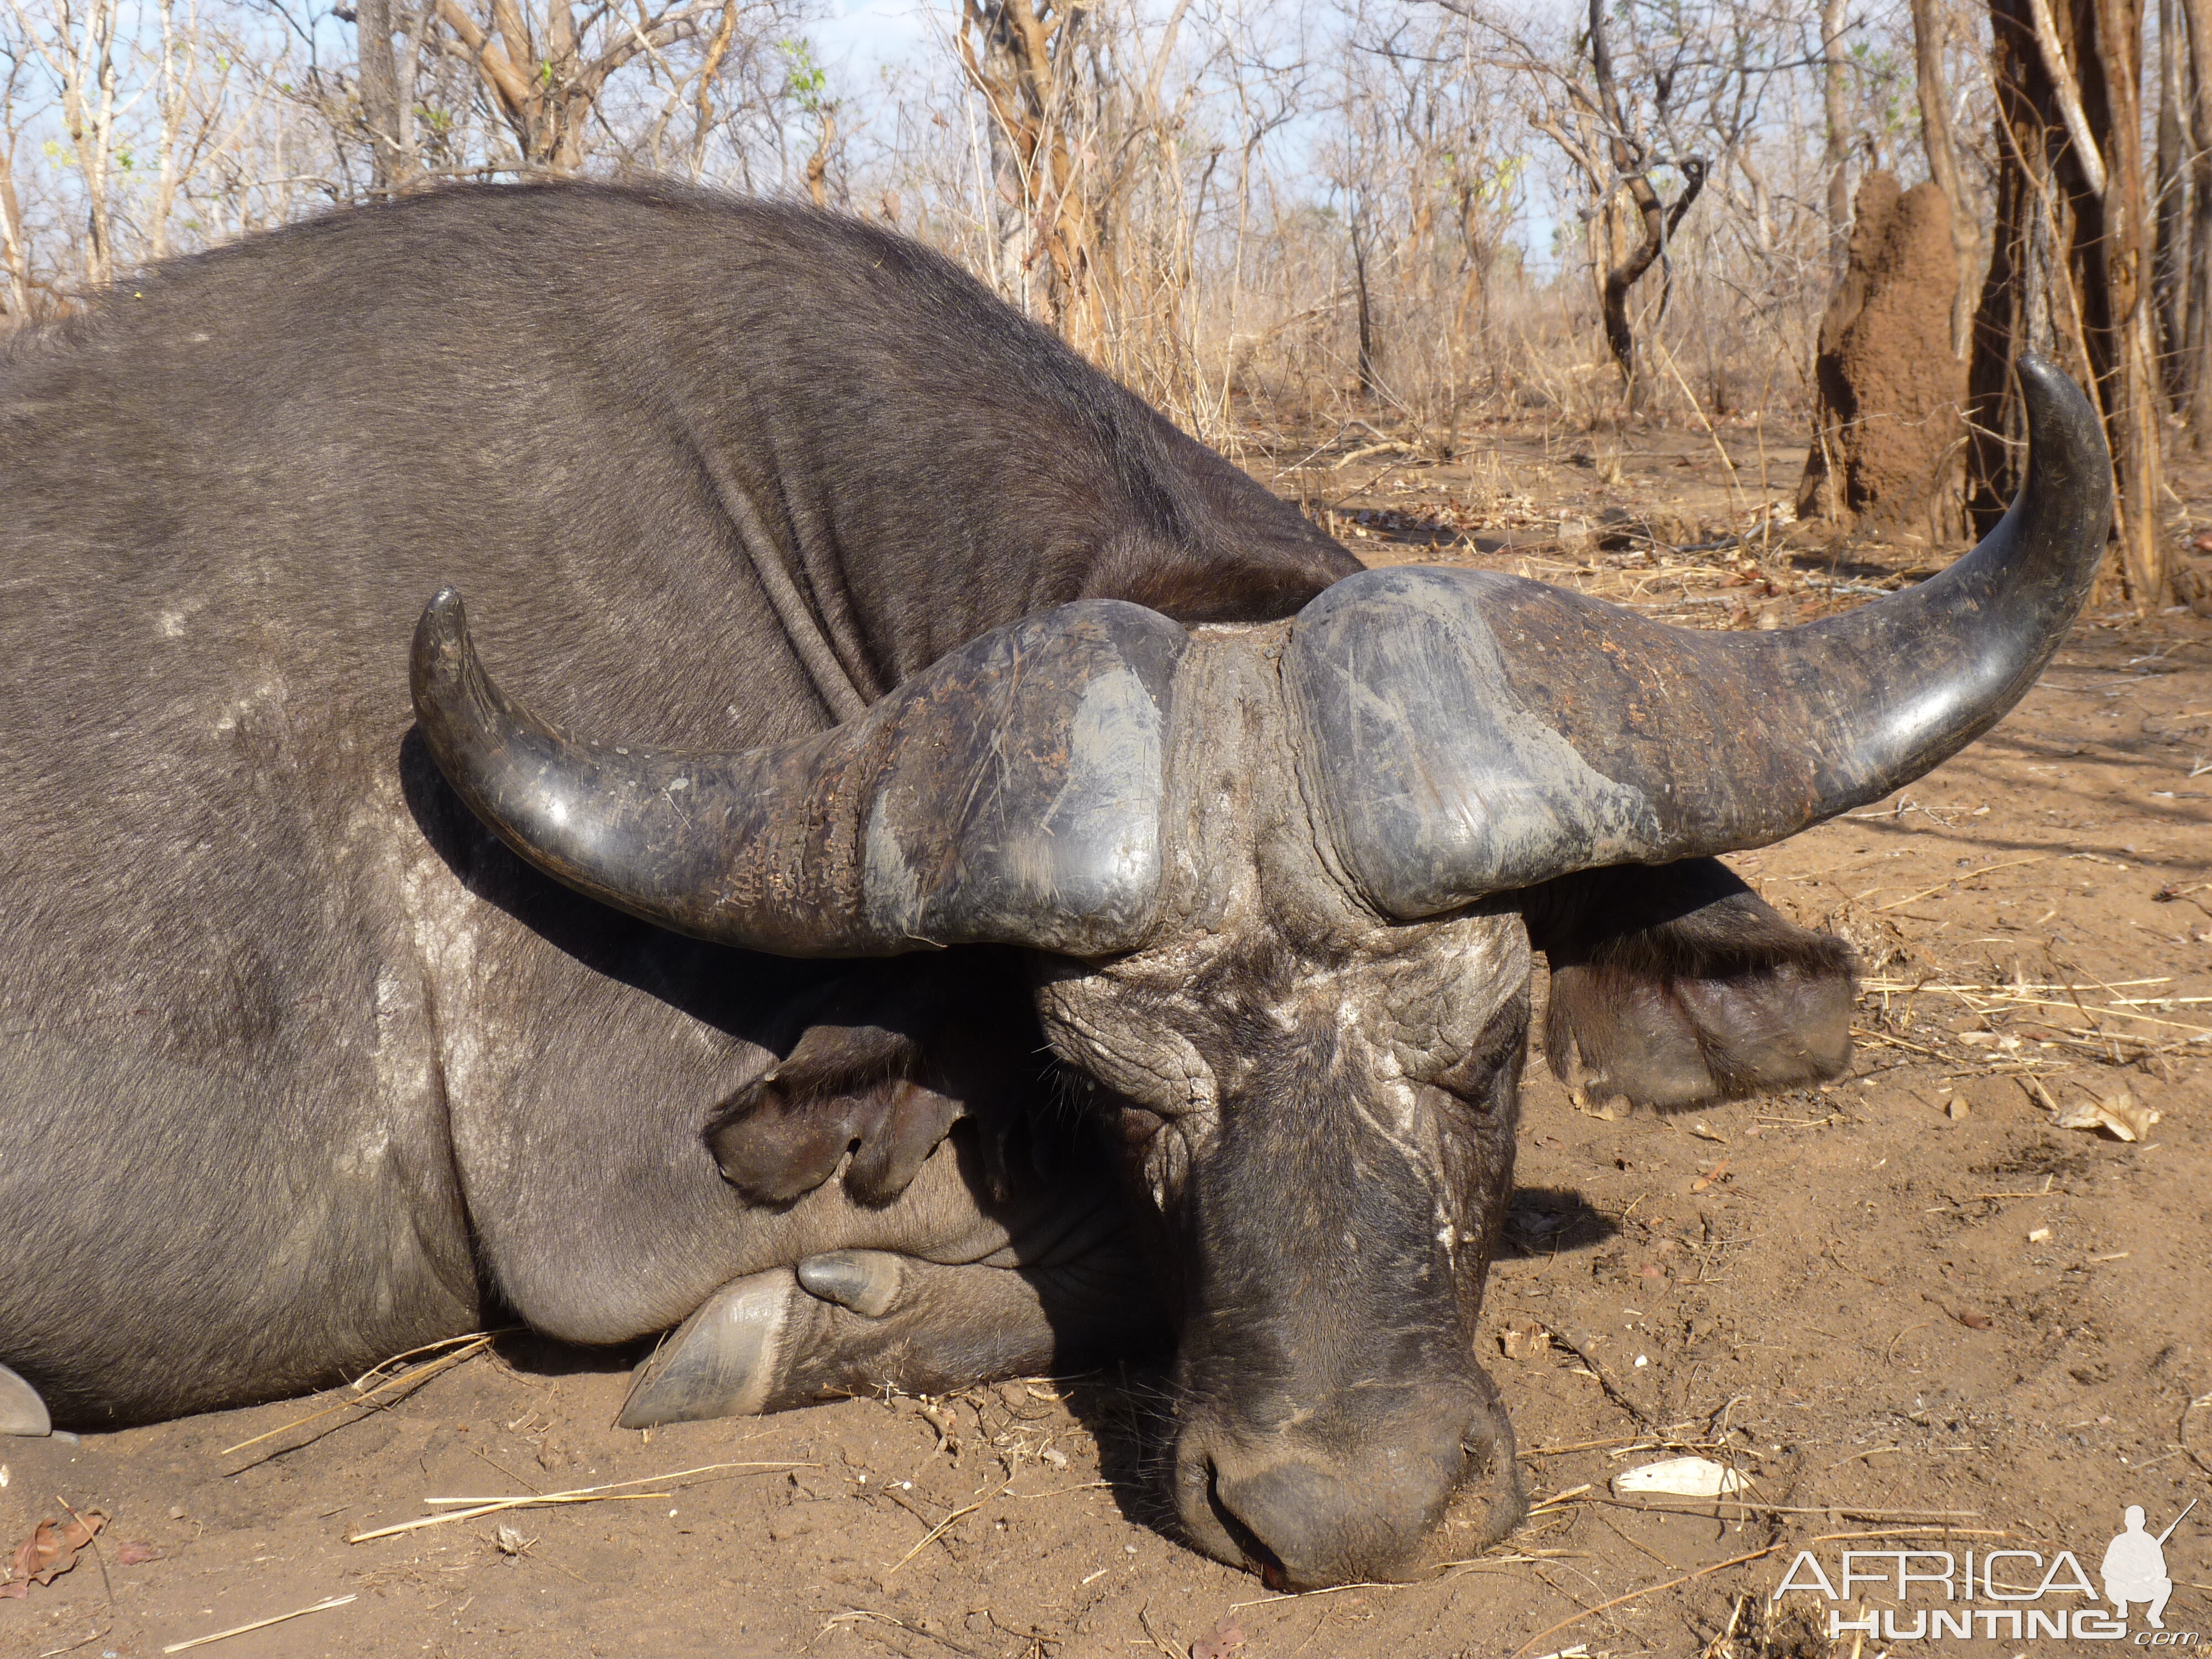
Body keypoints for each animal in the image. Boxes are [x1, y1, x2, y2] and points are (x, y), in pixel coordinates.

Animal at [0, 185, 2106, 1601]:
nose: (1348, 1513)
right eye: (1111, 1095)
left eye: (1491, 1051)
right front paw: (797, 1327)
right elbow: (1062, 1260)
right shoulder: (612, 1211)